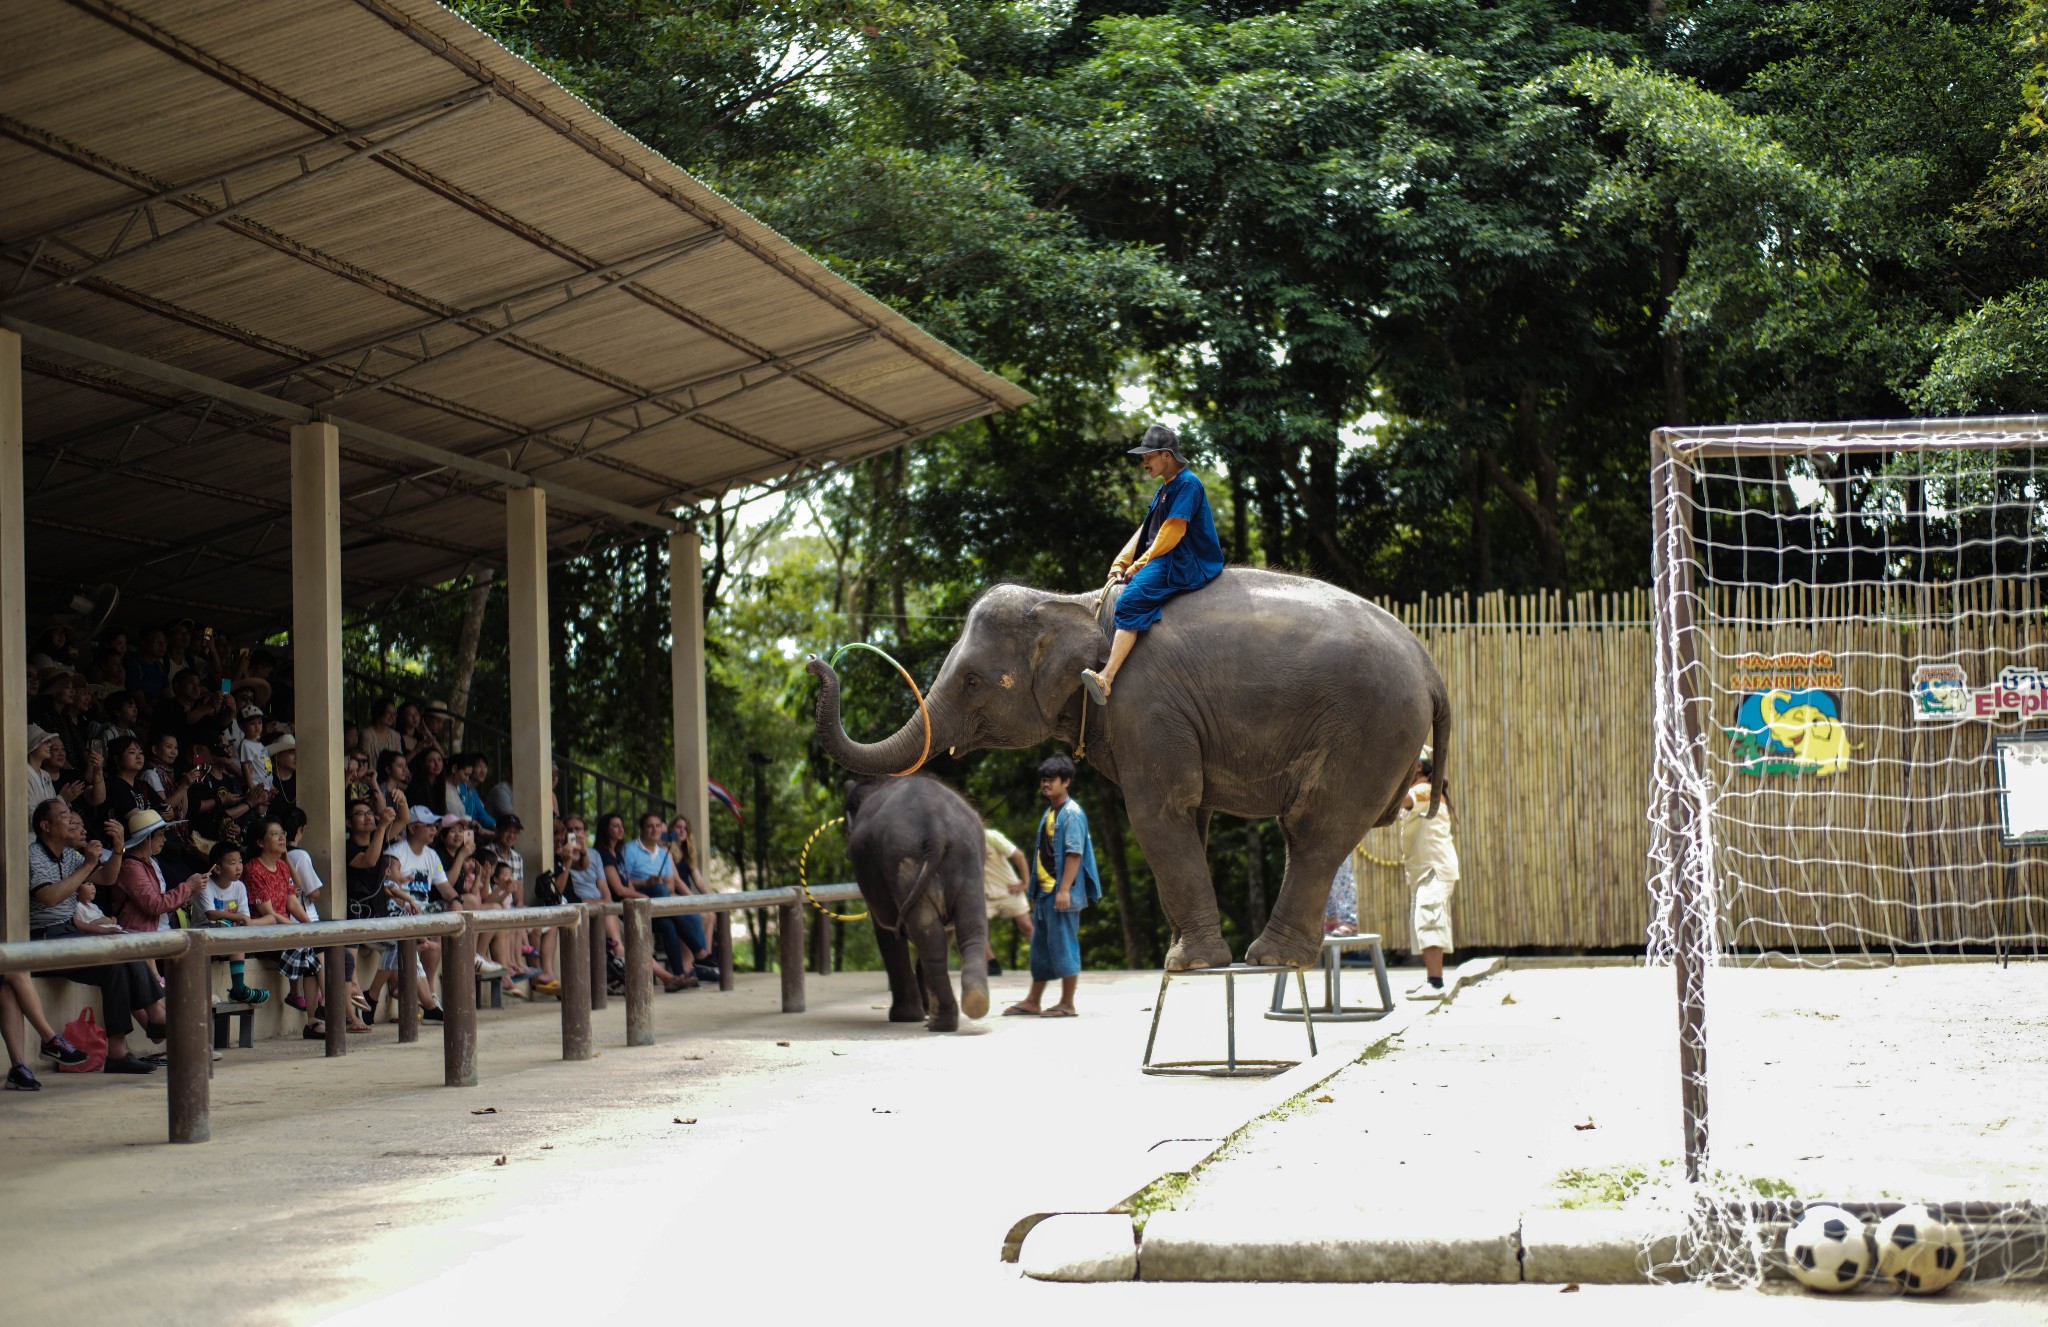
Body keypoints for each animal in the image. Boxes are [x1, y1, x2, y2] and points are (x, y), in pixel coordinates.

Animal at [806, 565, 1449, 970]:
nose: (815, 662)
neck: (1076, 604)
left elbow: (1159, 812)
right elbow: (1192, 817)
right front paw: (1183, 955)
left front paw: (1187, 963)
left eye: (971, 681)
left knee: (1313, 829)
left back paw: (1270, 959)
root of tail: (1430, 665)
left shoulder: (1144, 704)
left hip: (1368, 728)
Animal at [835, 774, 987, 1032]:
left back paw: (937, 1022)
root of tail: (936, 829)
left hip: (902, 862)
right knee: (969, 929)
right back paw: (973, 1004)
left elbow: (886, 932)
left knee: (927, 934)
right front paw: (920, 1012)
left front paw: (906, 1016)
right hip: (967, 859)